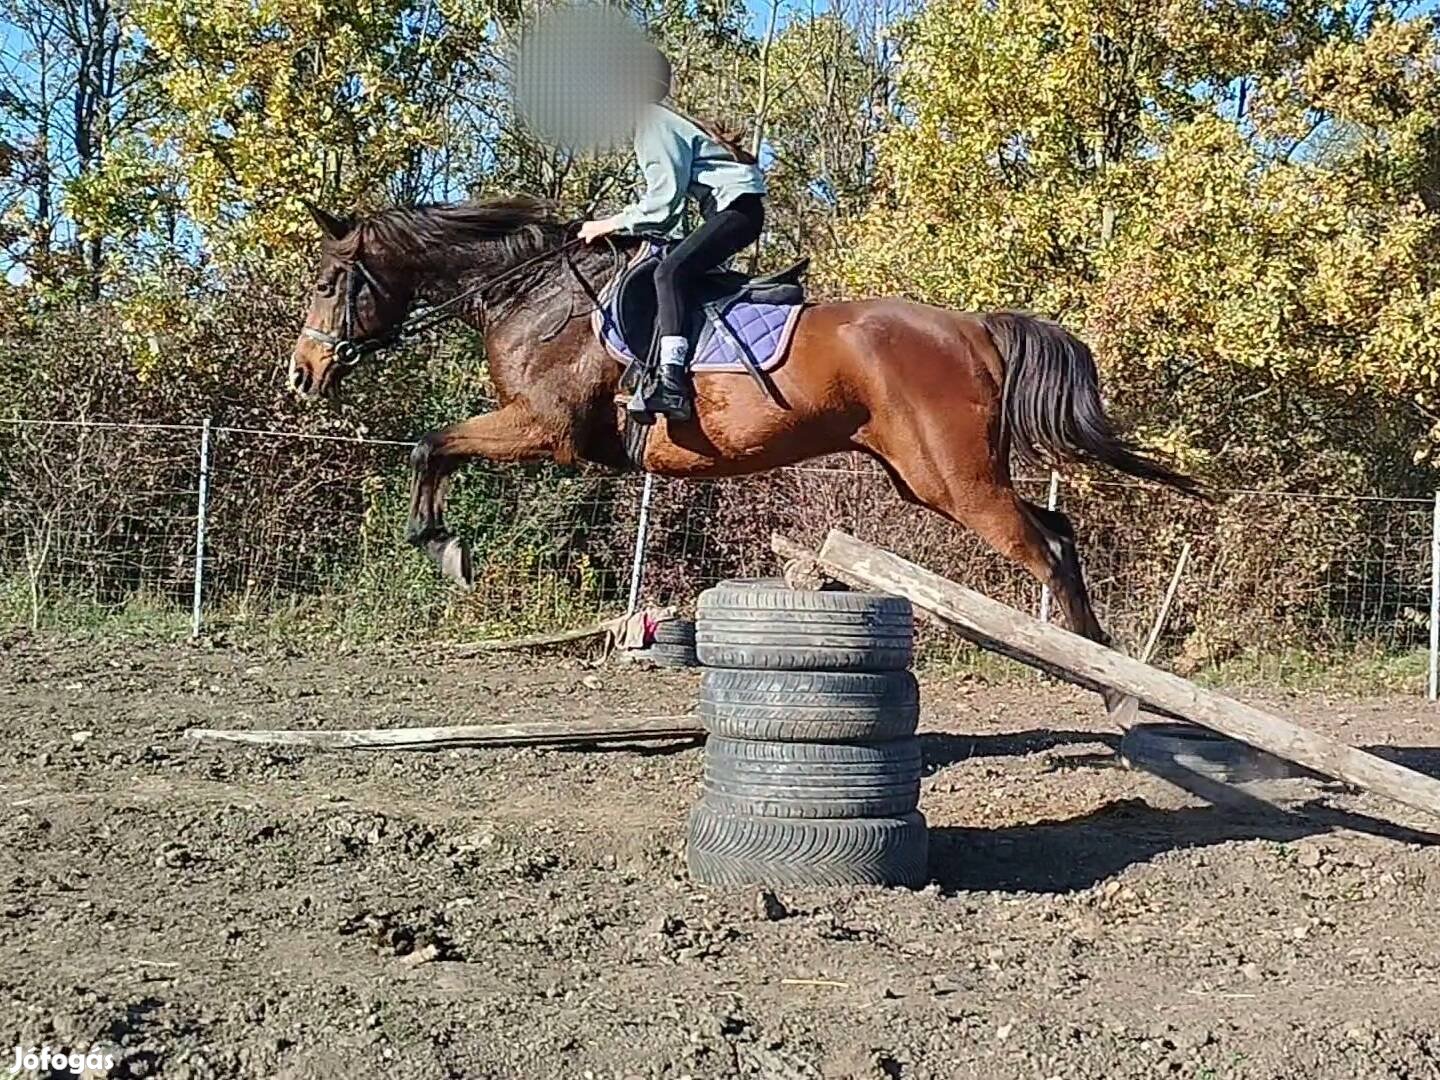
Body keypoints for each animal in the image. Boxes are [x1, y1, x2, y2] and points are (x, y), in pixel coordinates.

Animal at [283, 200, 1203, 665]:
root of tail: (973, 326)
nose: (300, 374)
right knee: (1060, 531)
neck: (535, 294)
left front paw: (442, 547)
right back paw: (1102, 659)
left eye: (329, 281)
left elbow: (430, 443)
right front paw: (441, 543)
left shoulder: (547, 430)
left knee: (1044, 548)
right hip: (932, 480)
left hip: (957, 480)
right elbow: (433, 446)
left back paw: (1105, 677)